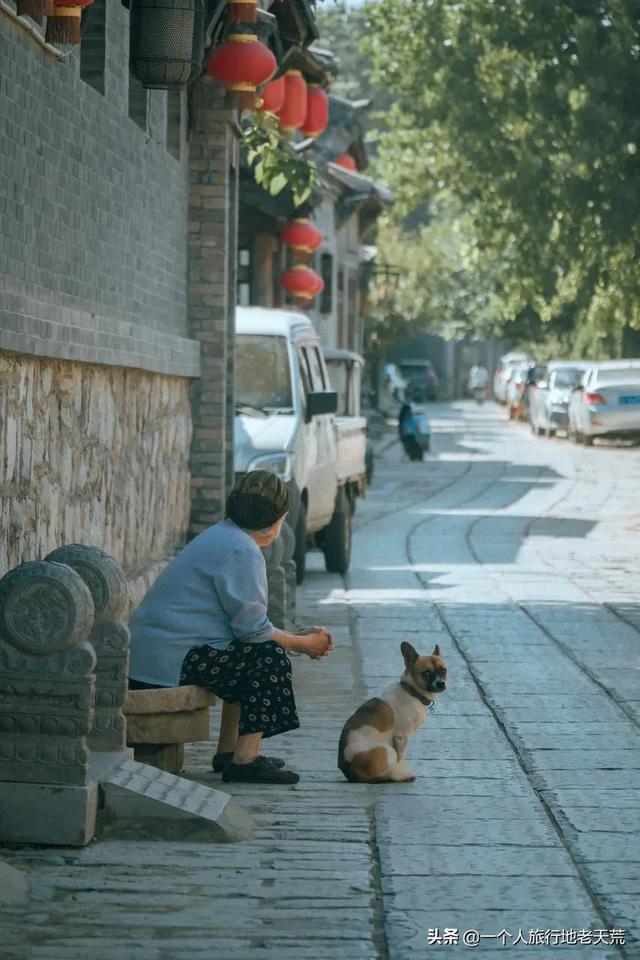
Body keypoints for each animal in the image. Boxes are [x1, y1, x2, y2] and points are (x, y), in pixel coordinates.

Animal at [338, 640, 448, 784]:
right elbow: (401, 757)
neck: (412, 691)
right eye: (427, 673)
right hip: (387, 749)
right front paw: (402, 768)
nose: (441, 683)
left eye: (443, 670)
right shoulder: (402, 737)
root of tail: (352, 774)